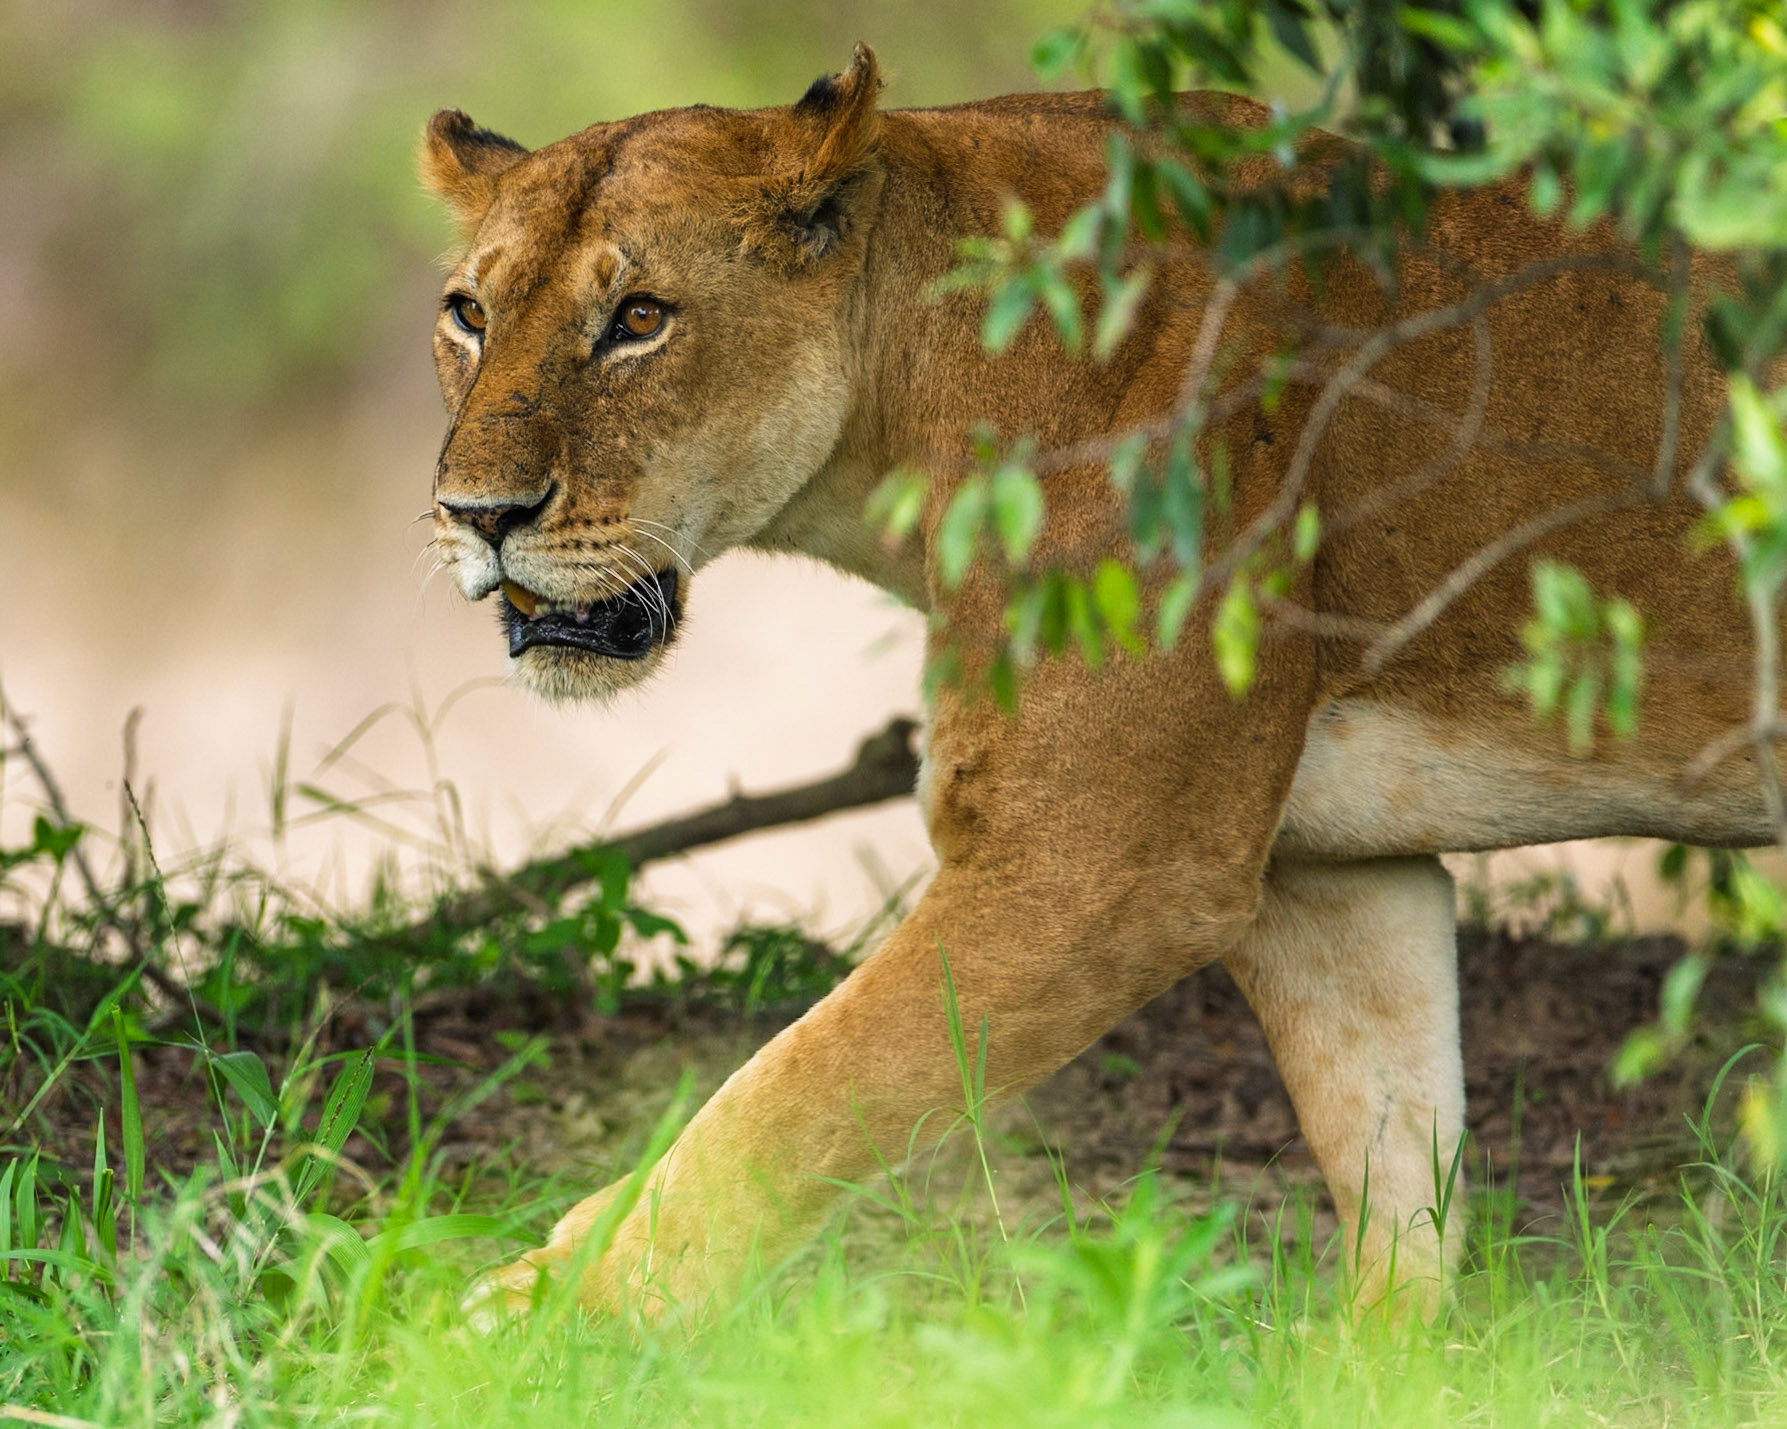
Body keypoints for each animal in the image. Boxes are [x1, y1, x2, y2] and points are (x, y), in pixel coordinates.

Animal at [421, 45, 1765, 1321]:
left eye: (640, 317)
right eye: (469, 315)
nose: (475, 515)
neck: (913, 401)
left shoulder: (1099, 871)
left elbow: (780, 1105)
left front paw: (548, 1320)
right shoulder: (1325, 873)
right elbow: (1391, 1163)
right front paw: (1387, 1362)